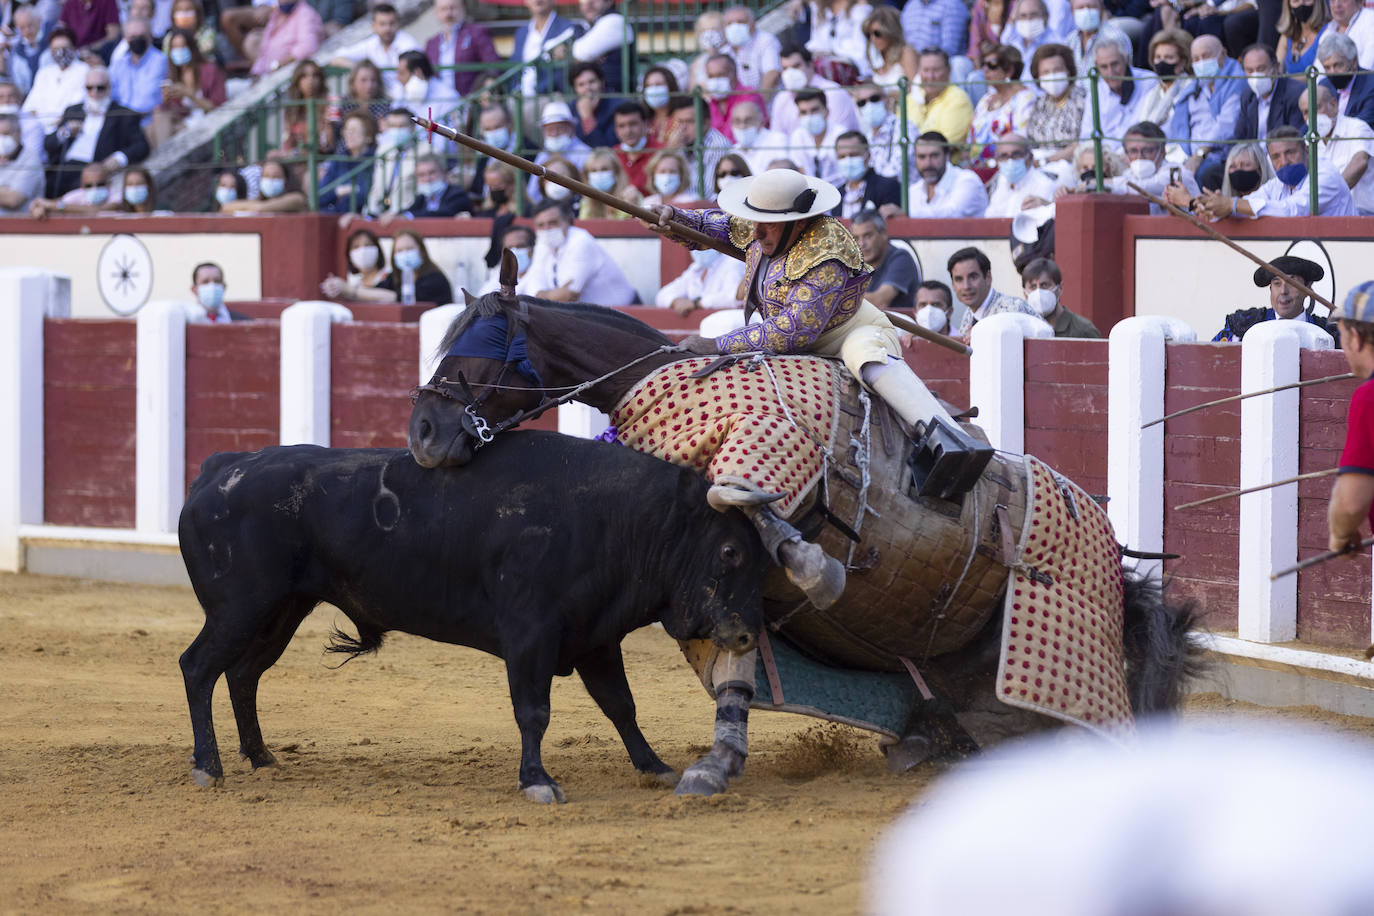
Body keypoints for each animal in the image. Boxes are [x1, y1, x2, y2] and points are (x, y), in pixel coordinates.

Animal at [177, 436, 769, 802]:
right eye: (730, 552)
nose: (746, 634)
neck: (619, 519)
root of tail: (220, 468)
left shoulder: (595, 638)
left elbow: (621, 705)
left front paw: (656, 768)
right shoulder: (530, 634)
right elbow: (534, 711)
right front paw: (537, 781)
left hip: (280, 610)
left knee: (243, 674)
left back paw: (260, 757)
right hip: (239, 608)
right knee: (198, 667)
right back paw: (209, 767)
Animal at [406, 258, 1203, 796]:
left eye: (477, 346)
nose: (423, 434)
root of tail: (1115, 558)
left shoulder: (764, 464)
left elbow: (744, 500)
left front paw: (817, 568)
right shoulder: (711, 573)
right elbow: (732, 650)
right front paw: (714, 764)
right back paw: (924, 745)